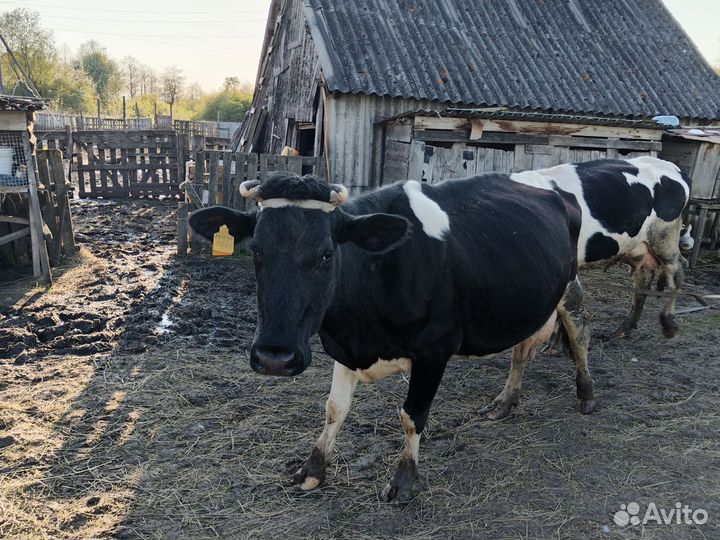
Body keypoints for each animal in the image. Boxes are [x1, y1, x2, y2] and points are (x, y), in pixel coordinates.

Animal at [190, 172, 592, 501]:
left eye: (326, 254)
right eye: (256, 250)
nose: (275, 358)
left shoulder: (435, 349)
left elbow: (412, 415)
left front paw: (404, 480)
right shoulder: (345, 348)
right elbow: (334, 408)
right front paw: (312, 469)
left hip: (571, 286)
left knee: (580, 334)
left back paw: (586, 395)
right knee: (521, 349)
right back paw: (504, 403)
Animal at [508, 156, 691, 339]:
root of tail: (671, 166)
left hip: (664, 236)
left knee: (677, 270)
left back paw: (668, 324)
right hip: (638, 246)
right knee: (643, 281)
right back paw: (625, 329)